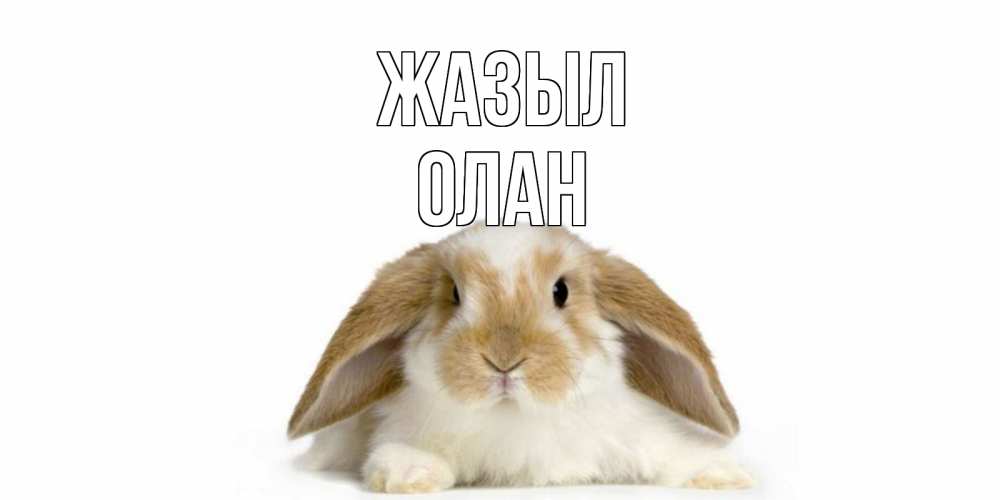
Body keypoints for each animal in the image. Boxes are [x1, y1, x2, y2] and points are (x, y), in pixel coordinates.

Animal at [288, 225, 753, 493]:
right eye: (454, 294)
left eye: (561, 291)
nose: (504, 359)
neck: (514, 416)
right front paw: (409, 474)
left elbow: (671, 452)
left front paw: (724, 475)